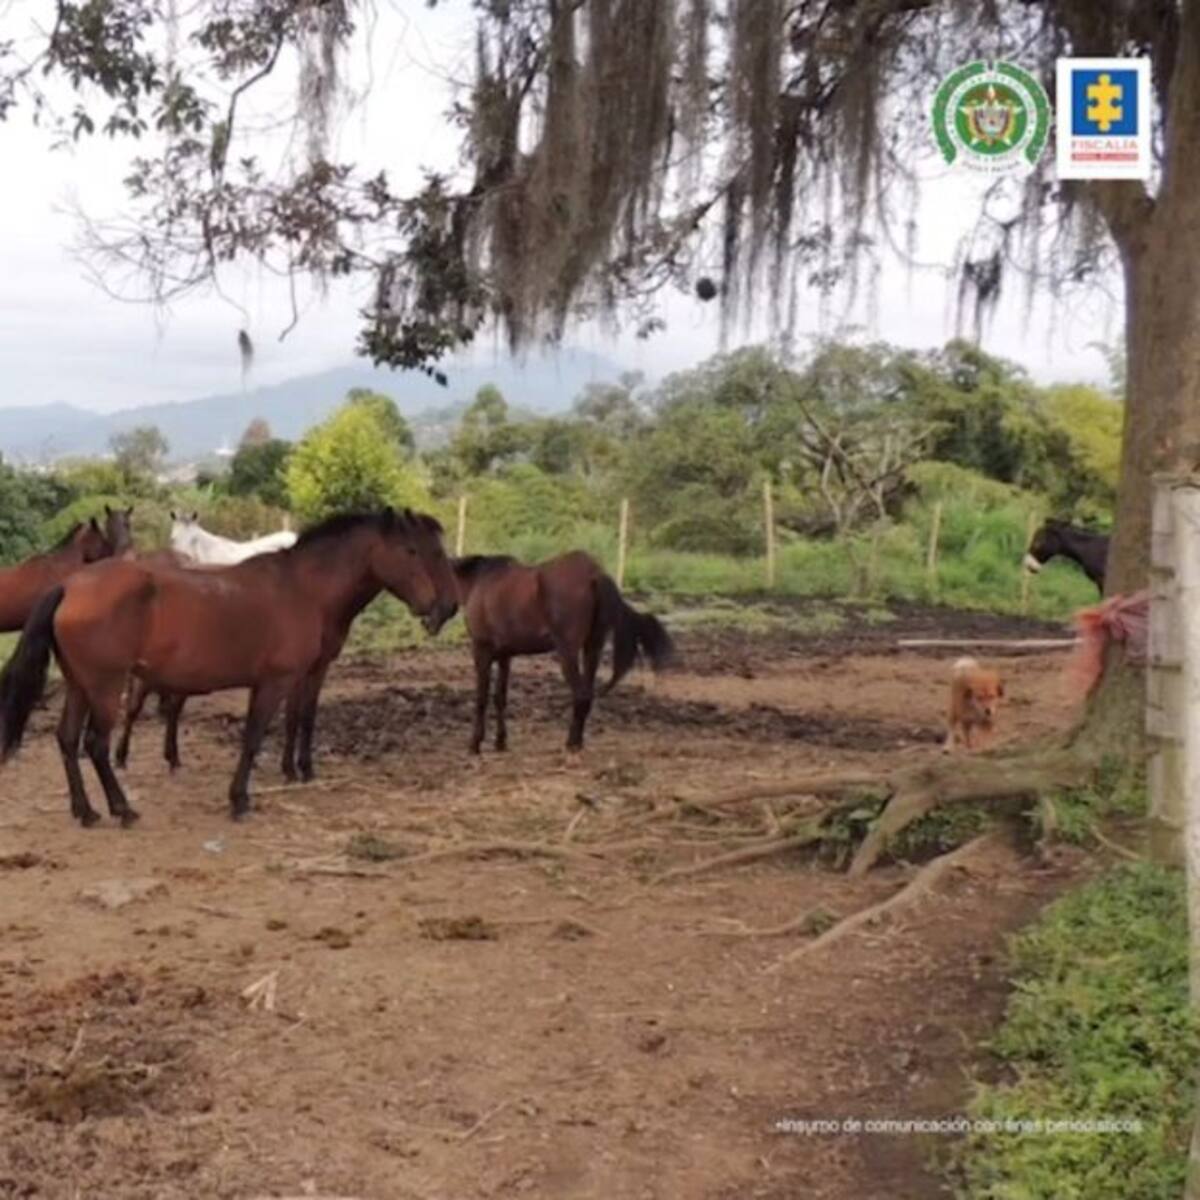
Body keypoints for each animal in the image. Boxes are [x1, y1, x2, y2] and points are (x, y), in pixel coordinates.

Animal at [453, 551, 675, 753]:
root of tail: (594, 573)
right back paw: (578, 741)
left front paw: (475, 743)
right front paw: (500, 742)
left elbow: (481, 698)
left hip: (567, 653)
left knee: (581, 695)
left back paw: (572, 743)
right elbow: (500, 697)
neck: (480, 580)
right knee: (587, 695)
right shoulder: (504, 655)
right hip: (592, 649)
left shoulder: (481, 650)